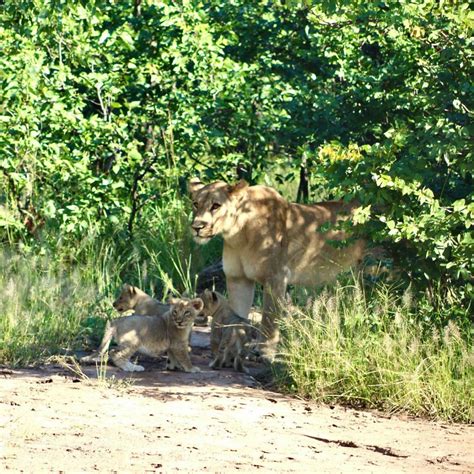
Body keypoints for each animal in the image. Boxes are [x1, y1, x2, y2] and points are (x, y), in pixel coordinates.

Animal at [187, 178, 364, 360]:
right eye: (196, 203)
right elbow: (236, 315)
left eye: (216, 205)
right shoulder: (238, 279)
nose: (197, 227)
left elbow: (269, 317)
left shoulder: (276, 277)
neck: (238, 235)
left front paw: (265, 351)